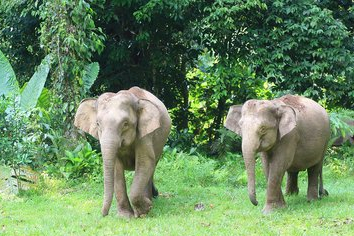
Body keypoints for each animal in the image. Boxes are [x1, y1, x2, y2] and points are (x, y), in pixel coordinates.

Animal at [74, 86, 171, 218]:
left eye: (125, 124)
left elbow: (145, 163)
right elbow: (116, 168)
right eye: (98, 123)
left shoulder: (145, 135)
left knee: (152, 166)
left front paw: (144, 210)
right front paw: (126, 216)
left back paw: (151, 198)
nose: (103, 214)